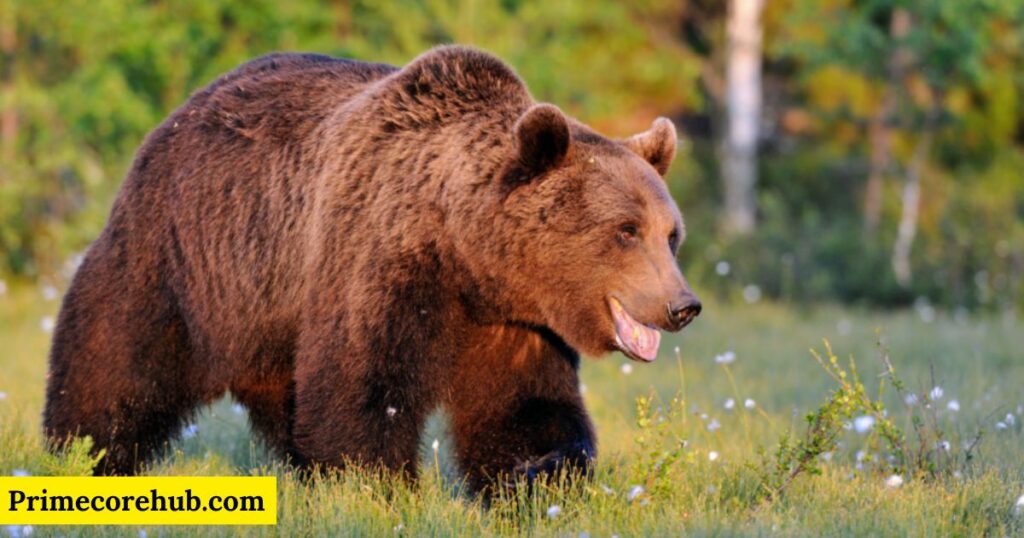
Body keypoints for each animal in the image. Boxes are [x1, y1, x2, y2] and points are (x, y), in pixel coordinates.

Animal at [46, 47, 704, 489]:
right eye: (625, 231)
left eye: (671, 234)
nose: (682, 305)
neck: (466, 255)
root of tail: (178, 114)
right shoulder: (379, 259)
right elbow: (362, 389)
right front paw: (375, 485)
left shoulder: (515, 321)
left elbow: (526, 408)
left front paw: (538, 475)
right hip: (181, 259)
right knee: (113, 364)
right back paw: (80, 456)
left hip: (268, 312)